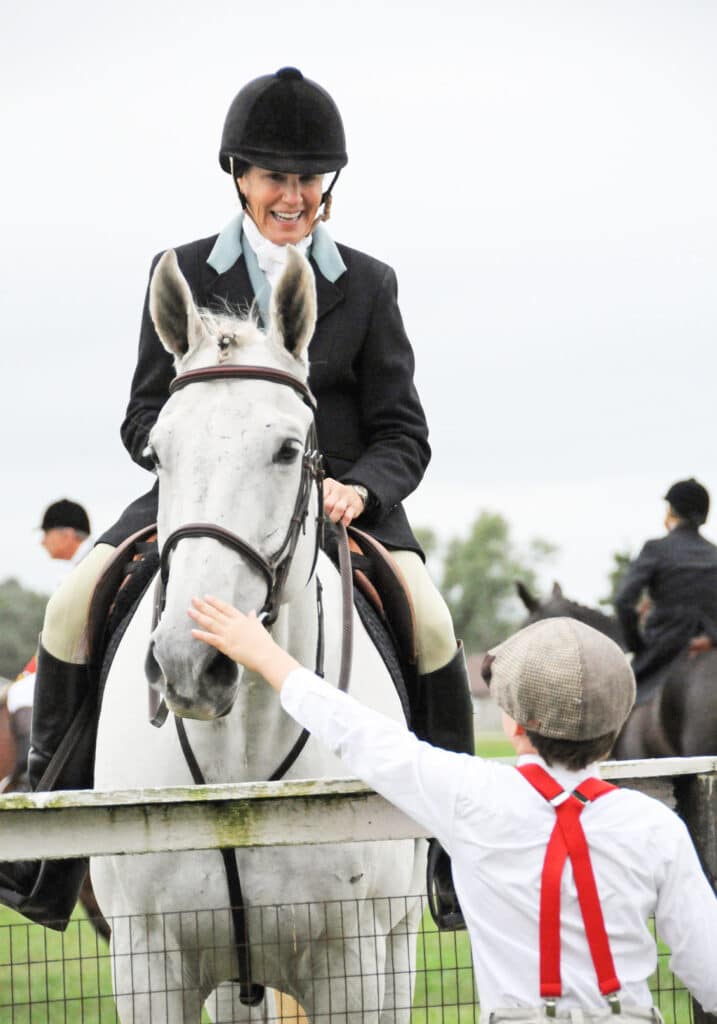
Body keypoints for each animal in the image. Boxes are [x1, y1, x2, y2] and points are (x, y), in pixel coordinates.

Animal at [91, 249, 426, 1024]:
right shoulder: (147, 964)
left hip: (397, 947)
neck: (237, 759)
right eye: (157, 452)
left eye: (287, 450)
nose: (190, 663)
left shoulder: (350, 967)